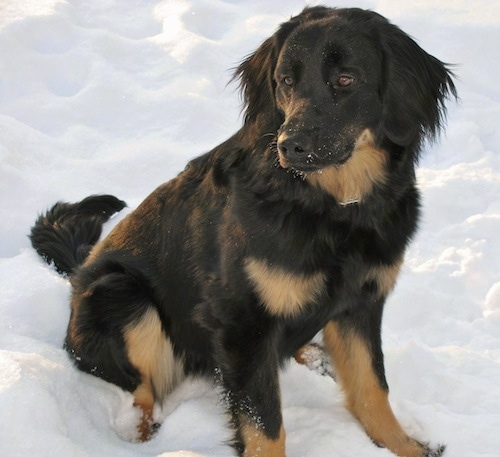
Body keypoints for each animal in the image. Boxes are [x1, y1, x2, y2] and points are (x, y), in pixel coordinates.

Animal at [29, 7, 456, 456]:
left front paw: (405, 446)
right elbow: (265, 424)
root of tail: (79, 273)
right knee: (141, 389)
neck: (331, 209)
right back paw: (142, 432)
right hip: (121, 294)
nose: (290, 145)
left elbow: (372, 388)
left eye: (345, 79)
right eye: (286, 81)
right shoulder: (242, 323)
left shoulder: (361, 302)